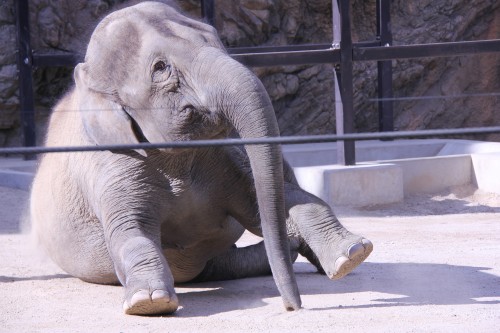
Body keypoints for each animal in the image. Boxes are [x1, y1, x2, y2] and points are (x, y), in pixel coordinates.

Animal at [28, 1, 372, 316]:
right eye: (160, 67)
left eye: (215, 38)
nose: (293, 307)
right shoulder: (111, 165)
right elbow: (130, 231)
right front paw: (150, 303)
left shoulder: (223, 157)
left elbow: (270, 200)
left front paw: (352, 254)